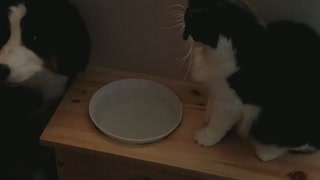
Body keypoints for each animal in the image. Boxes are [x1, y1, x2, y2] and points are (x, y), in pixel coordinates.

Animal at [182, 0, 320, 161]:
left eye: (191, 23)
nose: (186, 36)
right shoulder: (219, 87)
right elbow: (212, 102)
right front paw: (207, 115)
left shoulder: (230, 101)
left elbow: (218, 122)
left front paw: (206, 136)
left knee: (292, 144)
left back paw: (265, 152)